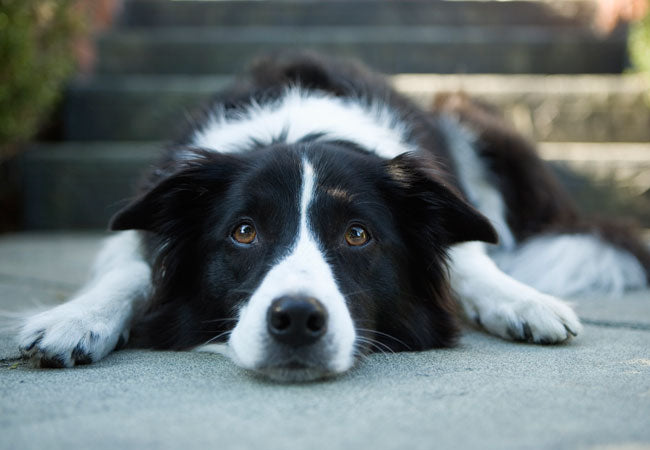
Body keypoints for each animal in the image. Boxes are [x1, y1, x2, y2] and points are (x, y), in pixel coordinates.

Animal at [17, 54, 644, 382]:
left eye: (357, 234)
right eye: (244, 232)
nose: (296, 319)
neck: (298, 128)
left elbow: (470, 260)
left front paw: (522, 301)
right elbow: (132, 267)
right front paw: (75, 319)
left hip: (473, 118)